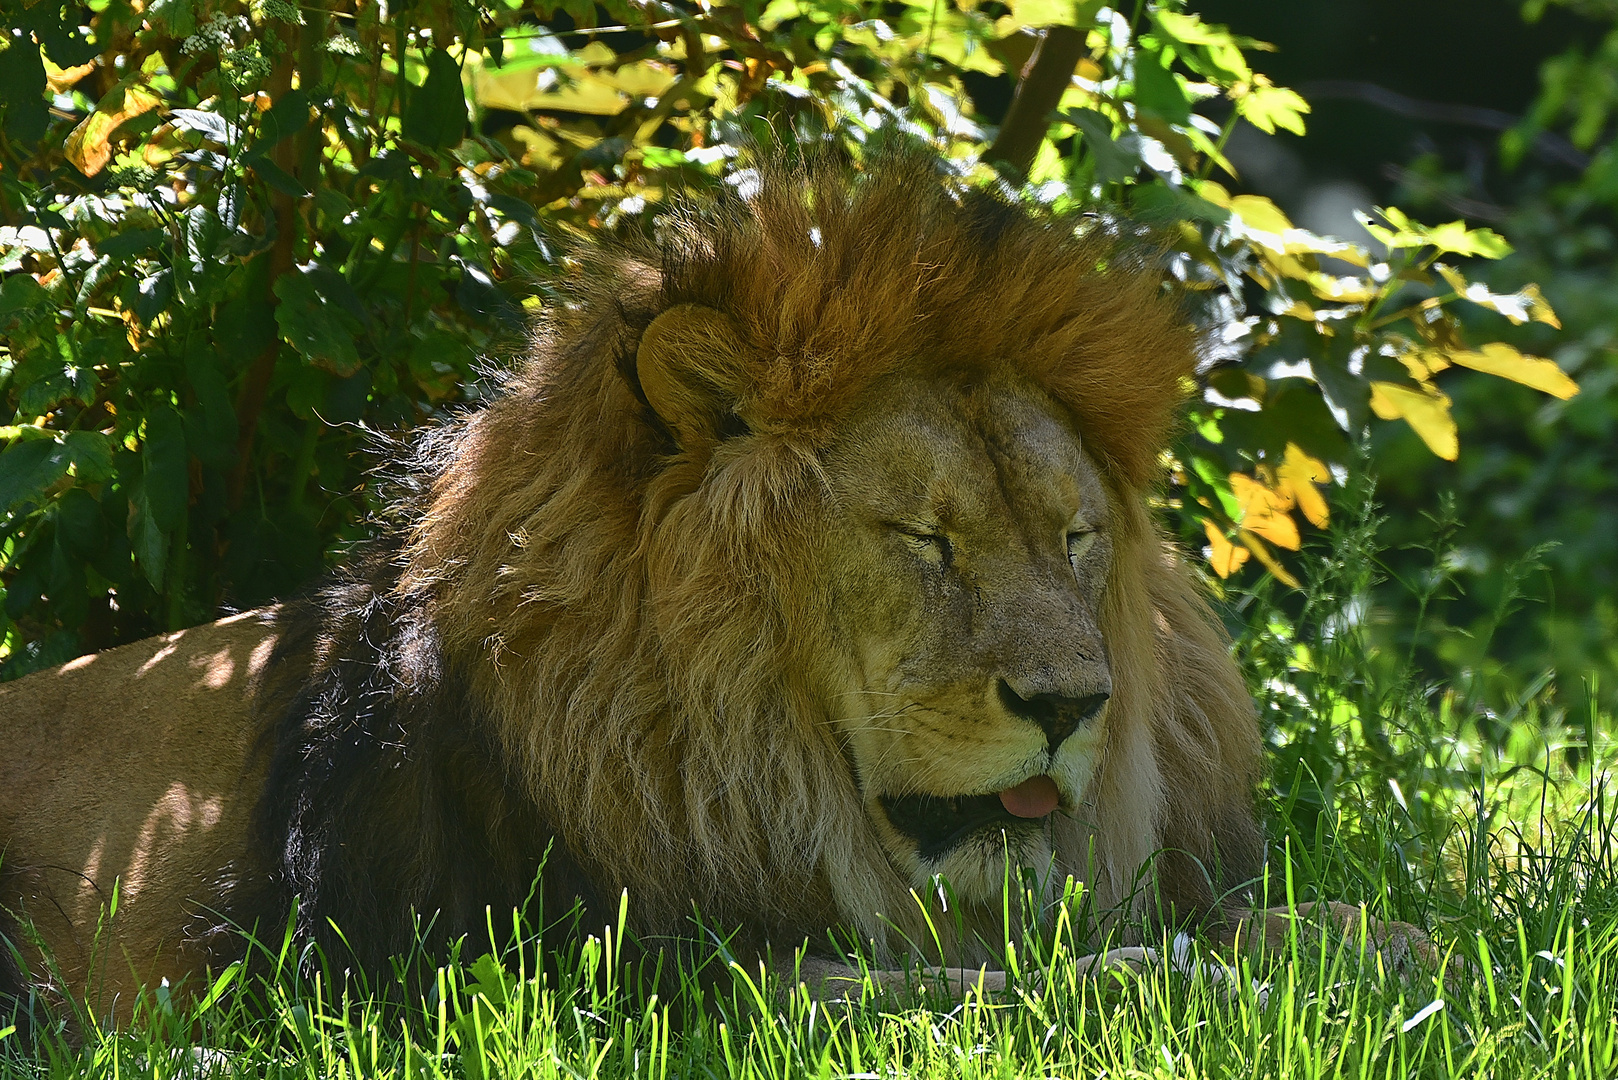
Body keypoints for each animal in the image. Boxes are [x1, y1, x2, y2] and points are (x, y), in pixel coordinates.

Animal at [0, 152, 1410, 1023]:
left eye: (1073, 538)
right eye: (922, 537)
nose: (1073, 708)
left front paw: (1368, 937)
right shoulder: (639, 980)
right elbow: (1006, 988)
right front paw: (1214, 978)